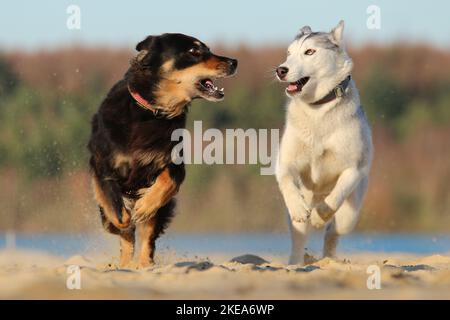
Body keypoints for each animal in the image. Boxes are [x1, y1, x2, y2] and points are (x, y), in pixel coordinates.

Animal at [86, 33, 237, 268]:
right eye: (194, 51)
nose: (234, 62)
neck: (152, 111)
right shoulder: (103, 166)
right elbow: (118, 213)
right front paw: (124, 219)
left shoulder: (174, 165)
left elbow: (167, 182)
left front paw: (144, 206)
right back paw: (126, 263)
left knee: (148, 236)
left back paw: (145, 263)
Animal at [274, 20, 372, 264]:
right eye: (288, 53)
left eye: (309, 52)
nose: (280, 70)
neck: (317, 110)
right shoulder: (285, 163)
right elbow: (286, 180)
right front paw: (300, 209)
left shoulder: (354, 168)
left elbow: (337, 194)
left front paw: (320, 216)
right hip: (298, 213)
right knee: (299, 235)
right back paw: (295, 262)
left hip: (350, 214)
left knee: (333, 231)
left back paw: (328, 255)